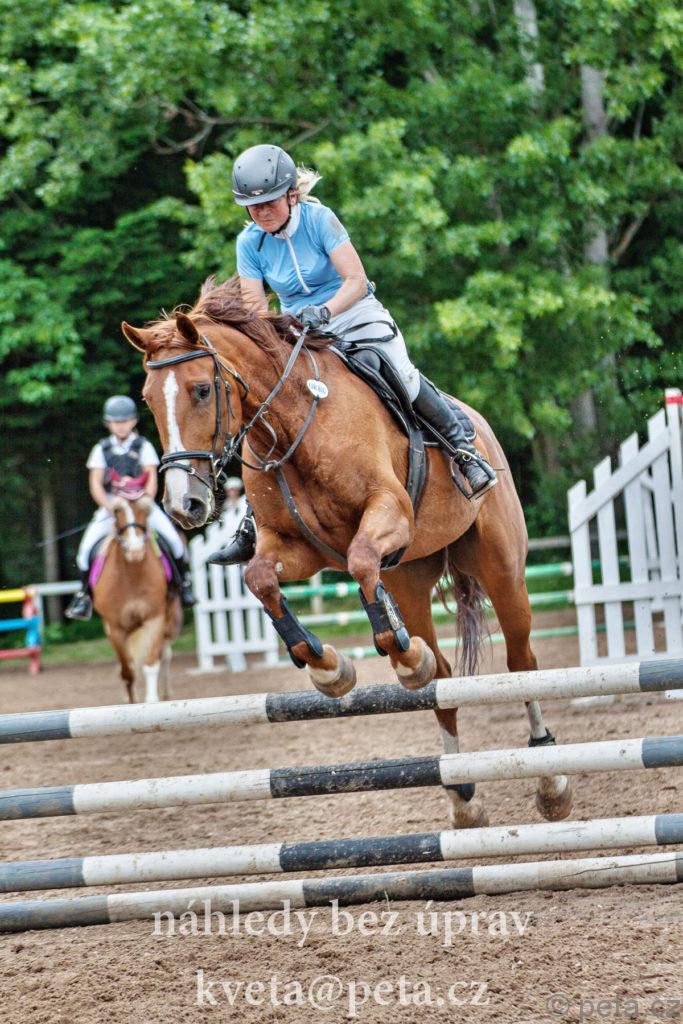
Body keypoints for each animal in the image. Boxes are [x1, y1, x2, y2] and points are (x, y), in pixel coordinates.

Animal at [92, 495, 183, 703]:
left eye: (144, 512)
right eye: (117, 513)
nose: (135, 551)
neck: (131, 575)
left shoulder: (154, 618)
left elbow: (151, 663)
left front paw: (152, 700)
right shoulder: (115, 628)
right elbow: (128, 672)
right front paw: (132, 702)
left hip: (169, 619)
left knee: (165, 654)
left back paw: (166, 693)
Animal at [122, 278, 572, 826]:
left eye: (201, 390)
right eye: (147, 400)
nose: (184, 505)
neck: (292, 425)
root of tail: (480, 423)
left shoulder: (389, 514)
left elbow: (359, 561)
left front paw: (383, 656)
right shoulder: (292, 547)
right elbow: (261, 579)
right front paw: (328, 666)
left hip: (501, 567)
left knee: (521, 662)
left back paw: (550, 779)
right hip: (409, 576)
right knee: (441, 679)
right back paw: (462, 793)